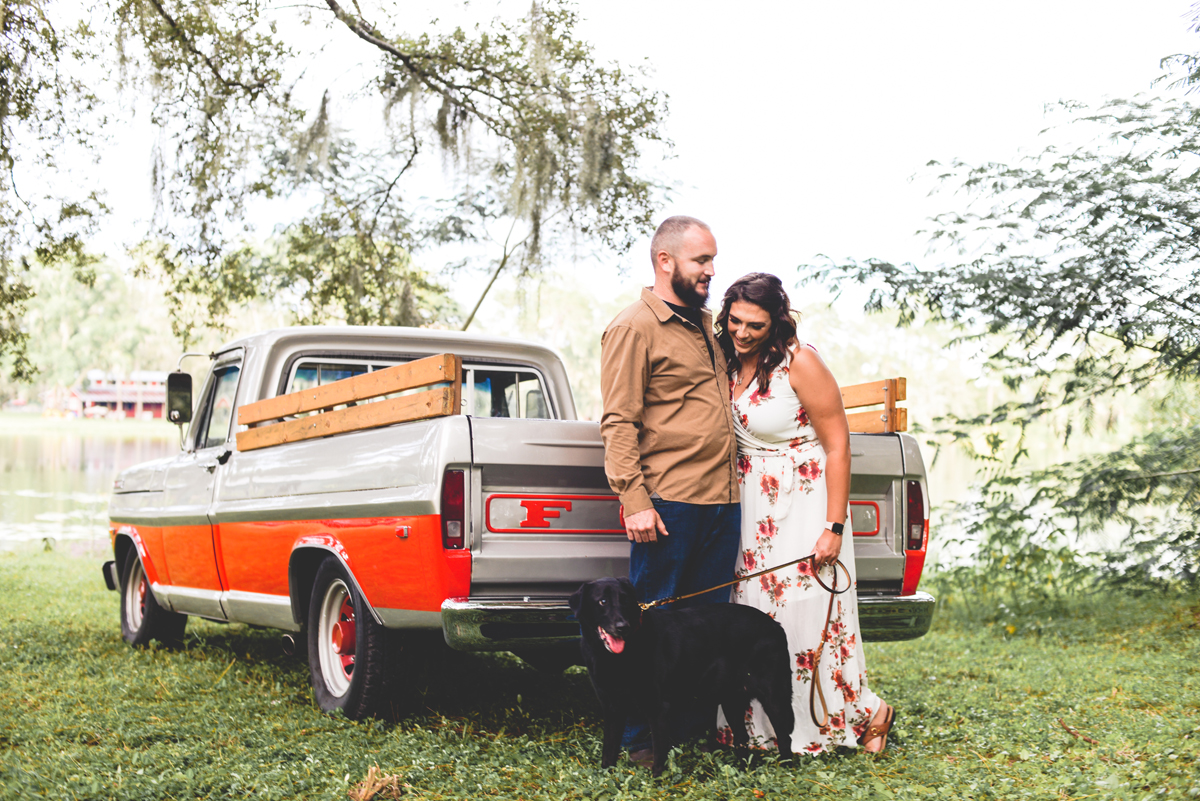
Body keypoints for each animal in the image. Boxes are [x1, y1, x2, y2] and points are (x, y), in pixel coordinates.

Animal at [566, 575, 792, 777]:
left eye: (625, 600)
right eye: (602, 601)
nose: (622, 627)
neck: (617, 657)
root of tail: (775, 625)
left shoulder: (657, 708)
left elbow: (659, 756)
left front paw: (657, 783)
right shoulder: (613, 709)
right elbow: (609, 751)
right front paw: (605, 777)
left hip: (774, 697)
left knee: (784, 737)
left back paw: (786, 769)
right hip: (731, 700)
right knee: (742, 737)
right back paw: (742, 771)